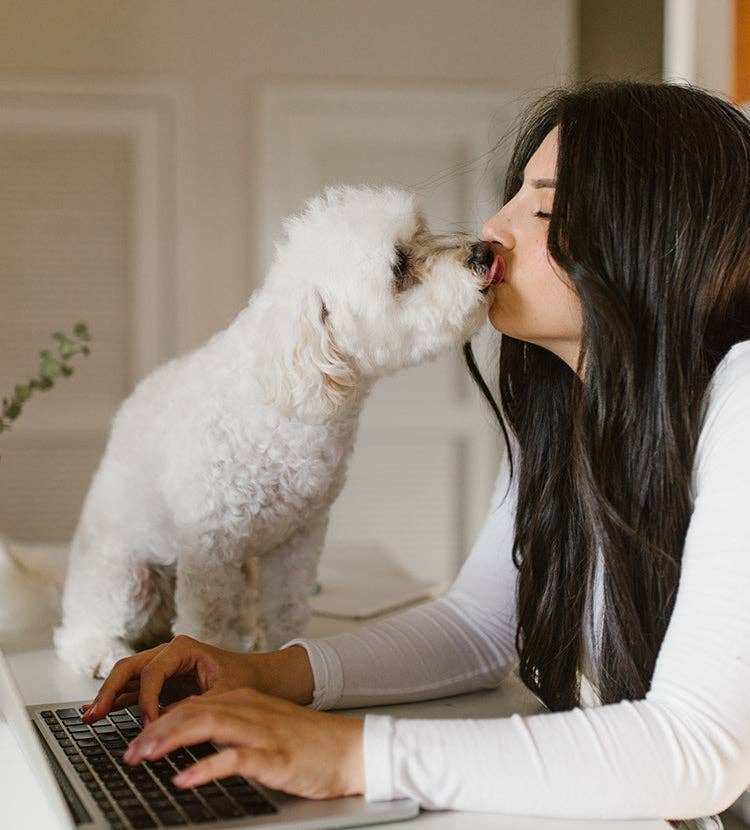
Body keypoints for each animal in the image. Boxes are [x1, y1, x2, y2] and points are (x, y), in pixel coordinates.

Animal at [54, 185, 506, 680]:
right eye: (398, 266)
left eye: (422, 231)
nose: (485, 251)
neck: (285, 405)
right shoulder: (210, 547)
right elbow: (206, 623)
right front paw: (205, 661)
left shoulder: (298, 540)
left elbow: (286, 608)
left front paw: (284, 650)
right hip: (127, 578)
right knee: (78, 633)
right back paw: (101, 652)